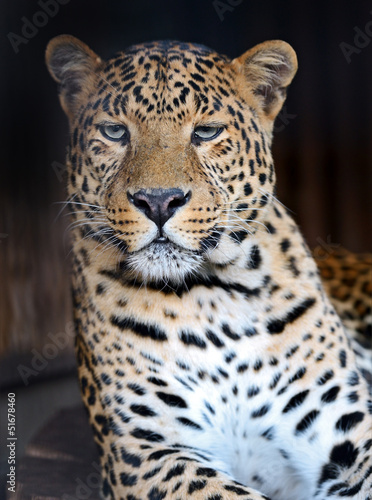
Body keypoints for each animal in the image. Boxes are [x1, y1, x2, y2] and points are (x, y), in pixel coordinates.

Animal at [46, 36, 372, 500]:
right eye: (114, 132)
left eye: (206, 132)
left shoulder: (343, 427)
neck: (210, 297)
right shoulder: (147, 451)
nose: (158, 201)